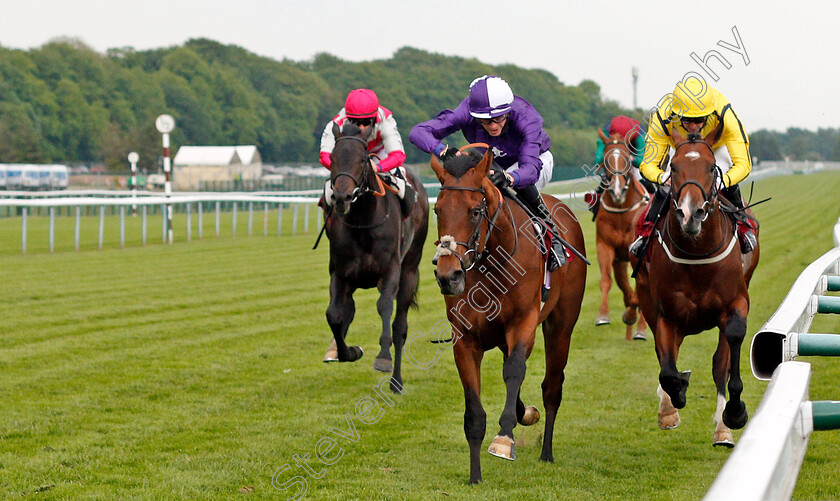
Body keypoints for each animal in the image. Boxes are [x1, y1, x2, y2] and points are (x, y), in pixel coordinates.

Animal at [324, 122, 430, 390]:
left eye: (363, 159)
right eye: (332, 158)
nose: (341, 197)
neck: (363, 221)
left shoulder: (390, 270)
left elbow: (384, 306)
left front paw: (383, 358)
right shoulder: (340, 273)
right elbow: (335, 315)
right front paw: (349, 351)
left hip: (410, 269)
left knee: (400, 325)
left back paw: (396, 382)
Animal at [430, 146, 588, 482]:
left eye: (475, 211)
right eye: (437, 210)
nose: (448, 276)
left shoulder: (523, 323)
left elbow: (515, 370)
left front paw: (504, 440)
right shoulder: (466, 338)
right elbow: (474, 413)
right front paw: (475, 476)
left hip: (560, 325)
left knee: (551, 387)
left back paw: (546, 452)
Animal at [592, 128, 648, 340]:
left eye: (626, 159)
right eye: (605, 159)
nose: (616, 191)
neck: (621, 212)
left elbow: (638, 293)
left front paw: (632, 316)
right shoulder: (605, 246)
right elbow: (606, 281)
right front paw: (602, 316)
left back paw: (640, 329)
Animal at [632, 121, 760, 446]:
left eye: (711, 167)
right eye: (673, 167)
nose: (691, 214)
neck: (697, 253)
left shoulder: (736, 302)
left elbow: (726, 355)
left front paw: (733, 414)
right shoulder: (666, 314)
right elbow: (667, 370)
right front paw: (674, 398)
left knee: (718, 362)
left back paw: (722, 426)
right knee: (666, 356)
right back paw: (669, 405)